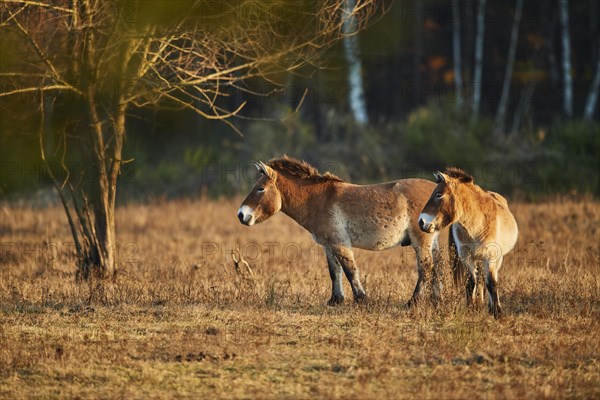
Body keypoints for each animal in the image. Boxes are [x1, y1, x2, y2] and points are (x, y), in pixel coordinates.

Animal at [238, 156, 446, 306]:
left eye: (260, 188)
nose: (241, 215)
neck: (318, 199)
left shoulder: (340, 243)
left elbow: (350, 270)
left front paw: (362, 299)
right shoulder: (328, 245)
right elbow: (334, 272)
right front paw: (336, 300)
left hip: (421, 241)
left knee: (426, 268)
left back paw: (413, 302)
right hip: (431, 241)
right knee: (436, 267)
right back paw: (436, 300)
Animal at [420, 167, 516, 318]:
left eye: (438, 194)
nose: (421, 222)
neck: (477, 224)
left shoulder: (490, 256)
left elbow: (492, 283)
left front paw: (497, 313)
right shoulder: (466, 256)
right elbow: (471, 282)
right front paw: (471, 309)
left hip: (495, 258)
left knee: (489, 279)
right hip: (478, 258)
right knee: (480, 279)